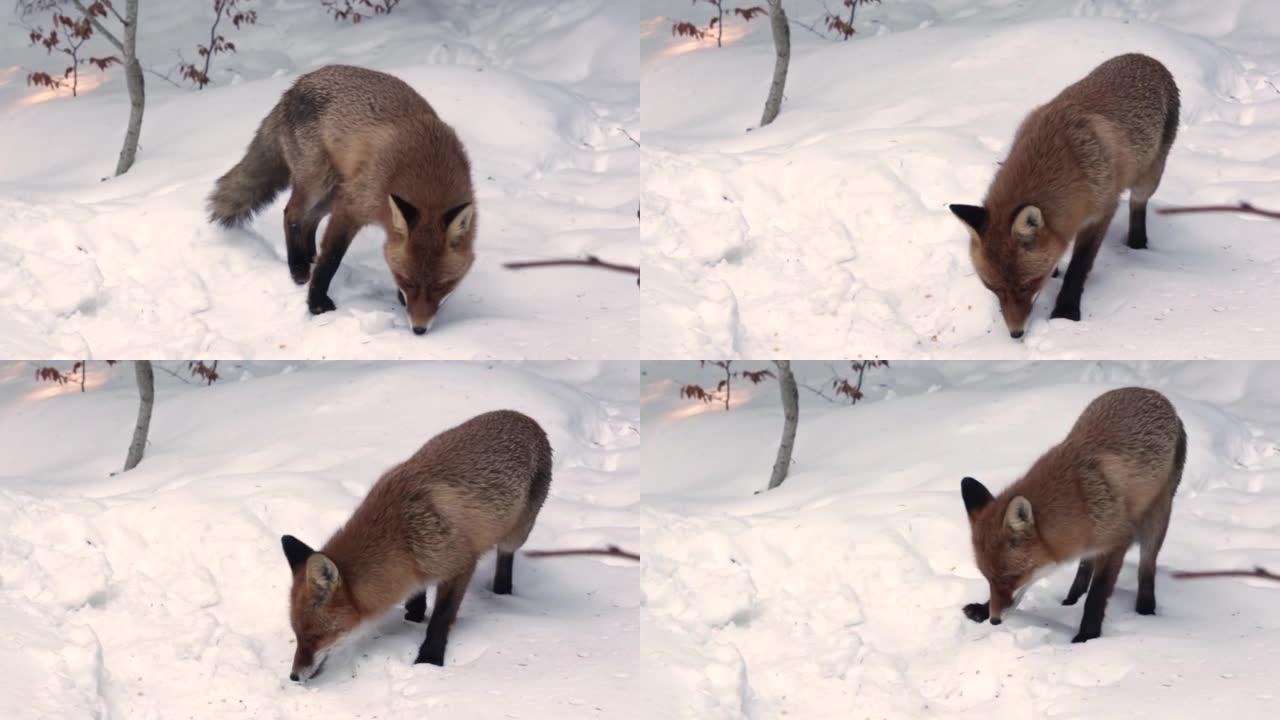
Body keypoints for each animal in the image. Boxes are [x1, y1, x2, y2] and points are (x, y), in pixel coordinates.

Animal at [209, 64, 476, 333]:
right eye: (407, 281)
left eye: (441, 286)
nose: (419, 329)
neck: (426, 170)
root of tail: (295, 85)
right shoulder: (352, 205)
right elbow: (331, 259)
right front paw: (316, 305)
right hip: (319, 182)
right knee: (292, 214)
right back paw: (299, 270)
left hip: (333, 191)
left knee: (309, 221)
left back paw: (309, 258)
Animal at [280, 407, 550, 676]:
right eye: (297, 635)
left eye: (314, 637)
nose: (294, 676)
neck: (401, 537)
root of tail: (523, 416)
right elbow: (419, 592)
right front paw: (415, 612)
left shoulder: (460, 563)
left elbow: (441, 617)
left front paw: (430, 658)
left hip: (517, 533)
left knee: (506, 555)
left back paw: (502, 591)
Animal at [952, 54, 1177, 338]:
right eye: (993, 289)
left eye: (1028, 285)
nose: (1016, 333)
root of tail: (1146, 57)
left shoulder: (1101, 211)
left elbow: (1078, 267)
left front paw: (1066, 312)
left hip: (1148, 179)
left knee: (1138, 204)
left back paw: (1137, 243)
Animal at [962, 389, 1177, 640]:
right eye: (988, 579)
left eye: (1010, 578)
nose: (995, 621)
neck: (1079, 503)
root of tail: (1153, 393)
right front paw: (982, 608)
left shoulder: (1116, 543)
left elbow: (1097, 596)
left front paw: (1087, 636)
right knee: (1085, 567)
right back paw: (1072, 598)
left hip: (1155, 522)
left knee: (1146, 569)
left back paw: (1145, 609)